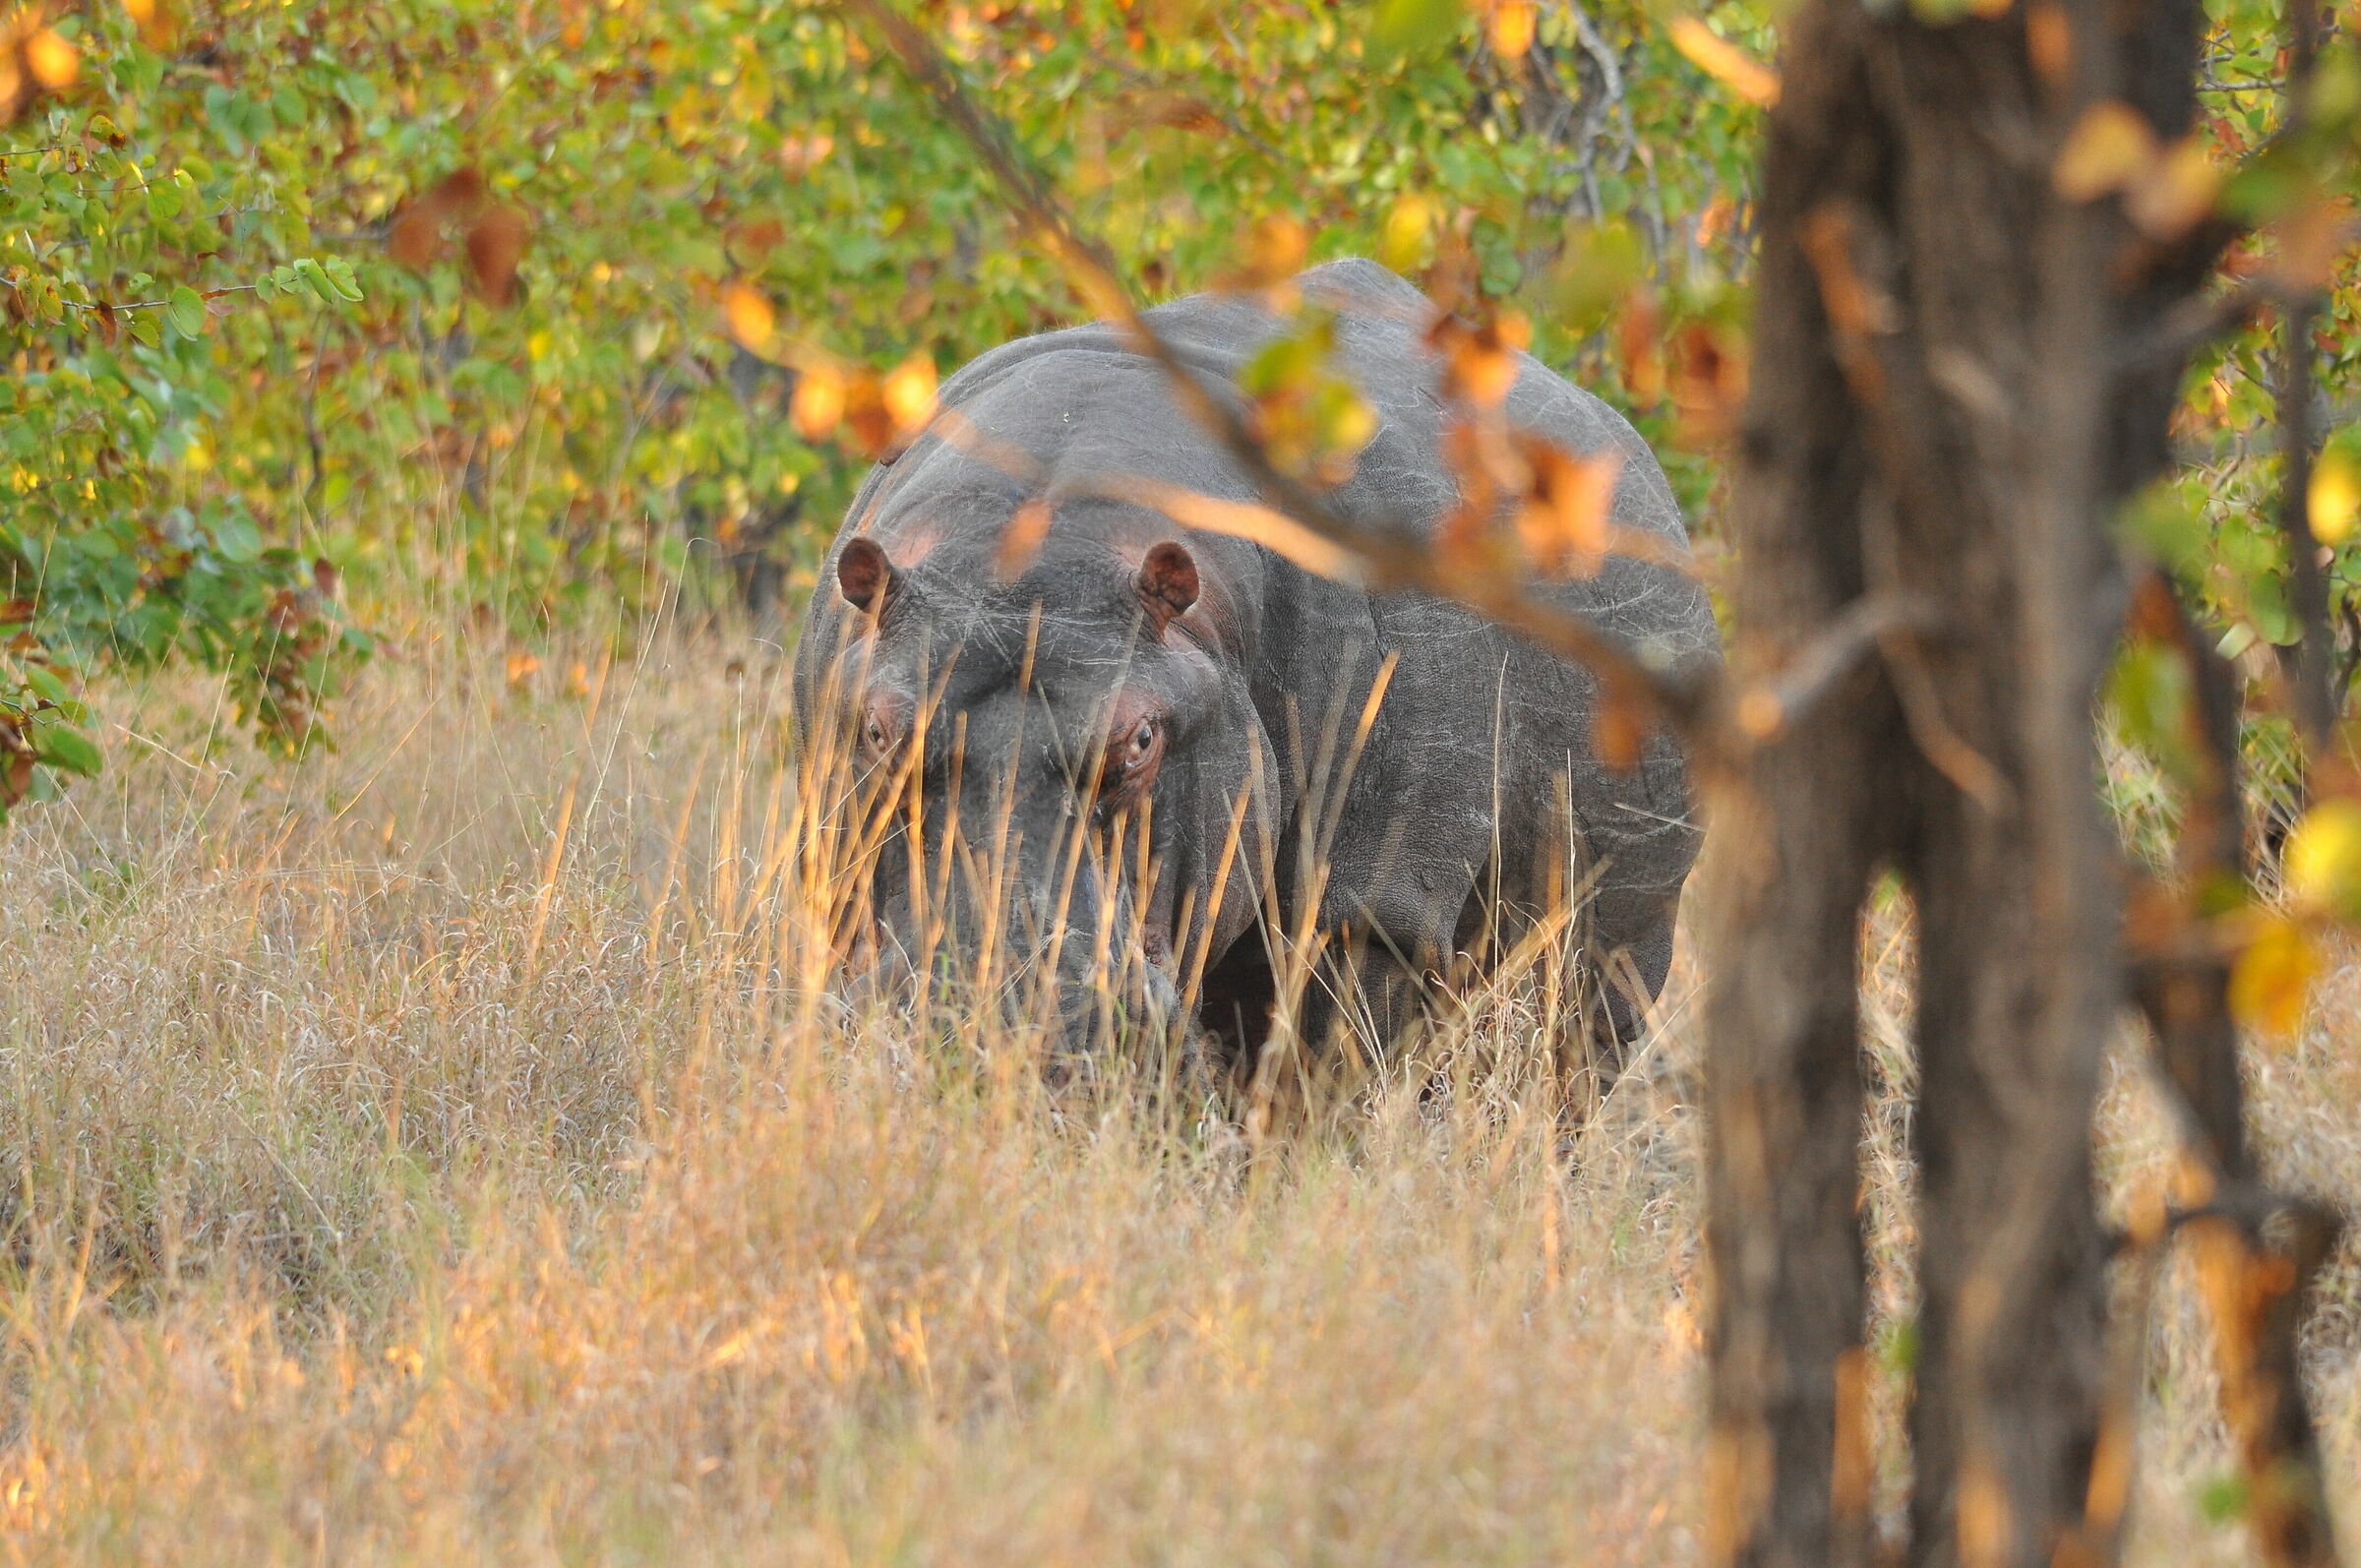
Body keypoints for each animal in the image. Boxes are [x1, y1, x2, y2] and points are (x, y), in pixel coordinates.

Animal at [790, 259, 1717, 1083]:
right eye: (876, 729)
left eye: (1140, 739)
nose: (1008, 1009)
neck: (1048, 535)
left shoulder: (1375, 917)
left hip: (1630, 938)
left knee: (1577, 1051)